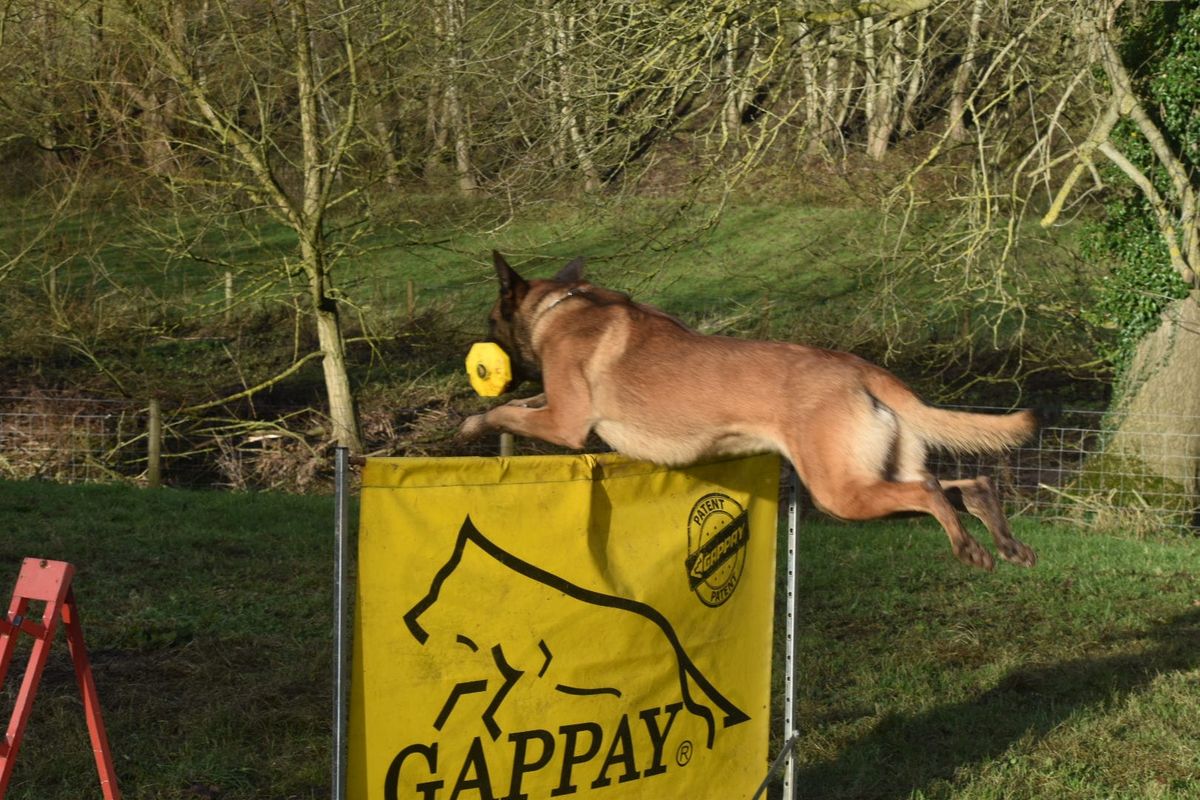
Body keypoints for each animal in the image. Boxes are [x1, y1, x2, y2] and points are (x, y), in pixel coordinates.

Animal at [460, 250, 1041, 568]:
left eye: (491, 322)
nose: (485, 362)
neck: (560, 306)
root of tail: (855, 367)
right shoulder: (554, 403)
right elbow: (523, 401)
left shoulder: (566, 421)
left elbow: (508, 412)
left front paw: (472, 423)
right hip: (875, 470)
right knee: (966, 484)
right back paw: (1006, 541)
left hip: (839, 491)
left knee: (930, 492)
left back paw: (971, 548)